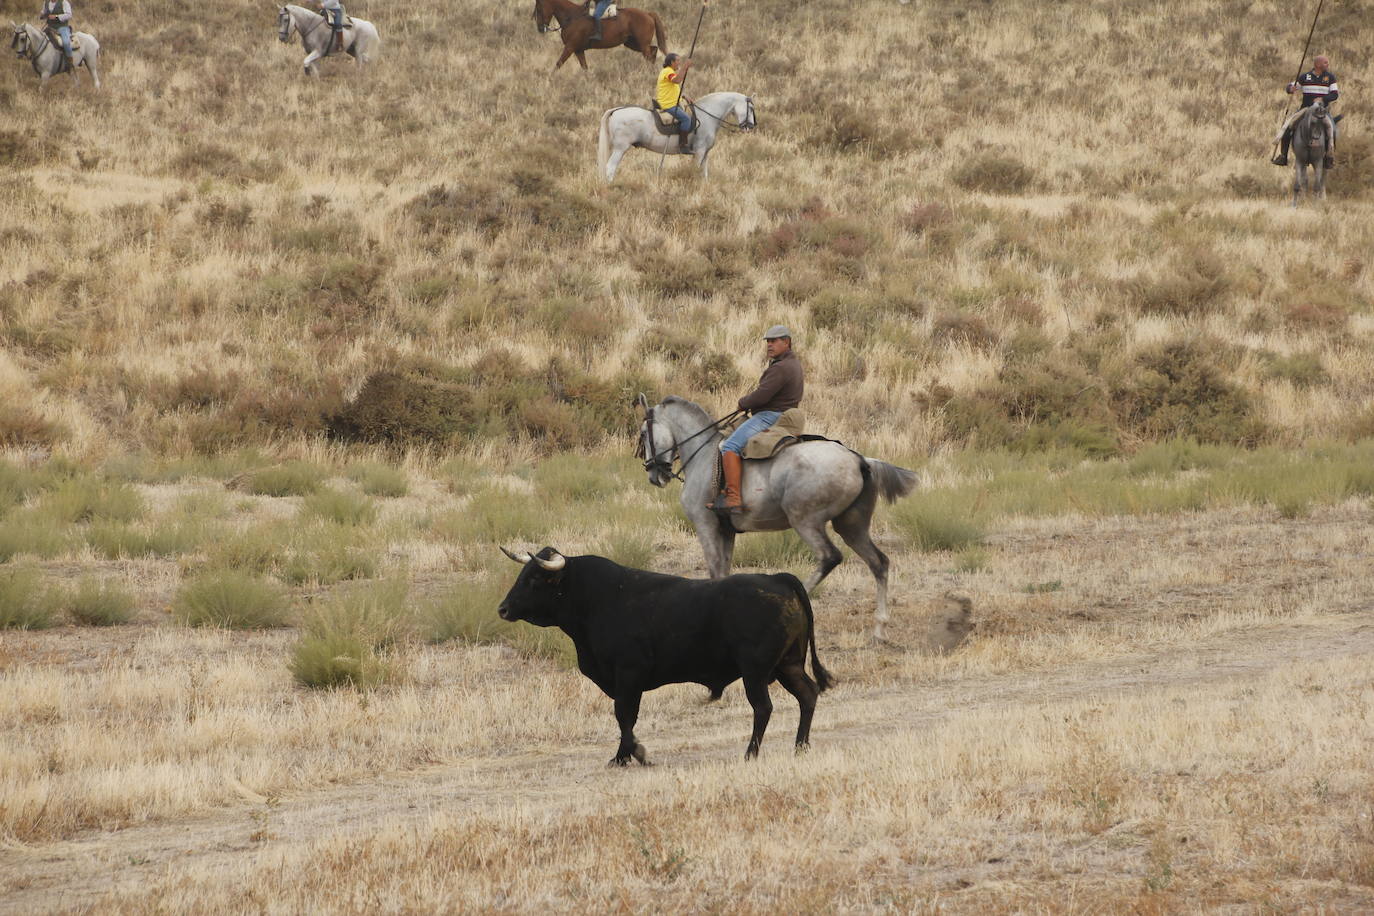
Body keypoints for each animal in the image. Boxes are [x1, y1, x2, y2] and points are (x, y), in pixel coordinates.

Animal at [500, 543, 829, 769]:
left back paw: (751, 753)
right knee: (808, 694)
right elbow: (625, 718)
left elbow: (624, 715)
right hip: (788, 665)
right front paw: (624, 756)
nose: (502, 609)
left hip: (755, 672)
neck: (595, 598)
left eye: (534, 579)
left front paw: (633, 754)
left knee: (763, 708)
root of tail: (778, 579)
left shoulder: (629, 675)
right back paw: (800, 747)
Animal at [530, 0, 665, 71]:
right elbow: (584, 67)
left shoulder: (570, 47)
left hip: (642, 44)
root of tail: (648, 14)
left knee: (649, 54)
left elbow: (558, 64)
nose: (540, 29)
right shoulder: (578, 50)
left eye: (539, 9)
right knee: (653, 50)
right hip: (632, 43)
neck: (573, 17)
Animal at [596, 91, 758, 182]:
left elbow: (704, 175)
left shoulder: (705, 154)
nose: (750, 126)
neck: (707, 116)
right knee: (610, 168)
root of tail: (617, 110)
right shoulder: (699, 152)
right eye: (750, 108)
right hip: (620, 149)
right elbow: (695, 172)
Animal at [634, 395, 917, 645]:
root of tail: (858, 459)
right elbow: (724, 571)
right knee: (878, 562)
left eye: (643, 433)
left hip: (805, 522)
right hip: (851, 527)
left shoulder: (706, 527)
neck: (702, 456)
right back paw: (879, 630)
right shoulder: (727, 531)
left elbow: (714, 571)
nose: (654, 475)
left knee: (830, 557)